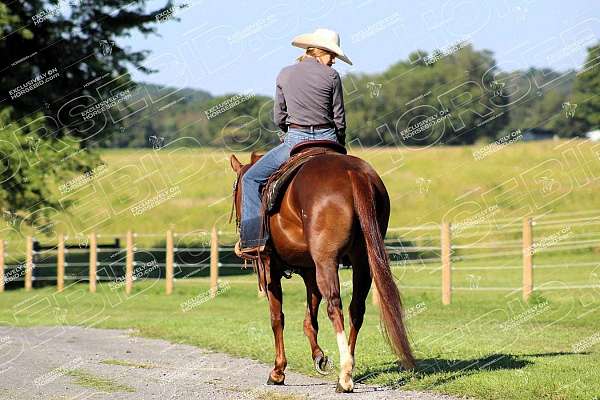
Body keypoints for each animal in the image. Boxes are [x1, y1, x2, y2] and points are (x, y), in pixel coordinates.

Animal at [227, 150, 414, 394]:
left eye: (236, 190)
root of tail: (353, 173)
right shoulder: (309, 271)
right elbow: (310, 319)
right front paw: (319, 356)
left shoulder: (271, 268)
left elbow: (277, 318)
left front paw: (278, 371)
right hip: (362, 261)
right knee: (356, 309)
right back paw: (346, 369)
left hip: (327, 262)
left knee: (335, 306)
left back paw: (345, 377)